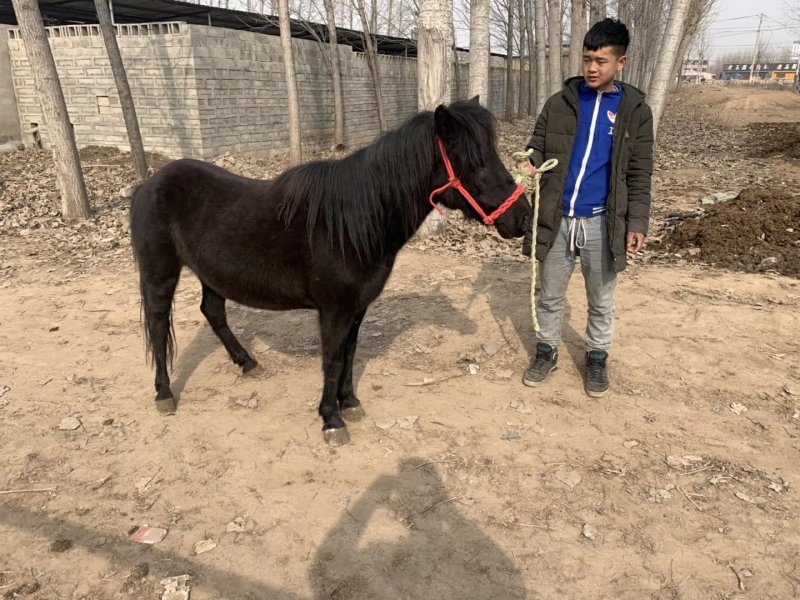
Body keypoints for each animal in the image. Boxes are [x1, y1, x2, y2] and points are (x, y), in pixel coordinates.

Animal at [130, 97, 531, 446]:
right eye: (477, 164)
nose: (524, 217)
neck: (353, 223)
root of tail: (147, 184)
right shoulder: (335, 310)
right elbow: (333, 357)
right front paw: (331, 419)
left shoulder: (357, 308)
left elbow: (350, 353)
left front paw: (349, 403)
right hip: (160, 275)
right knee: (159, 324)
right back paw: (164, 393)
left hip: (212, 274)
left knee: (213, 312)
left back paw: (248, 363)